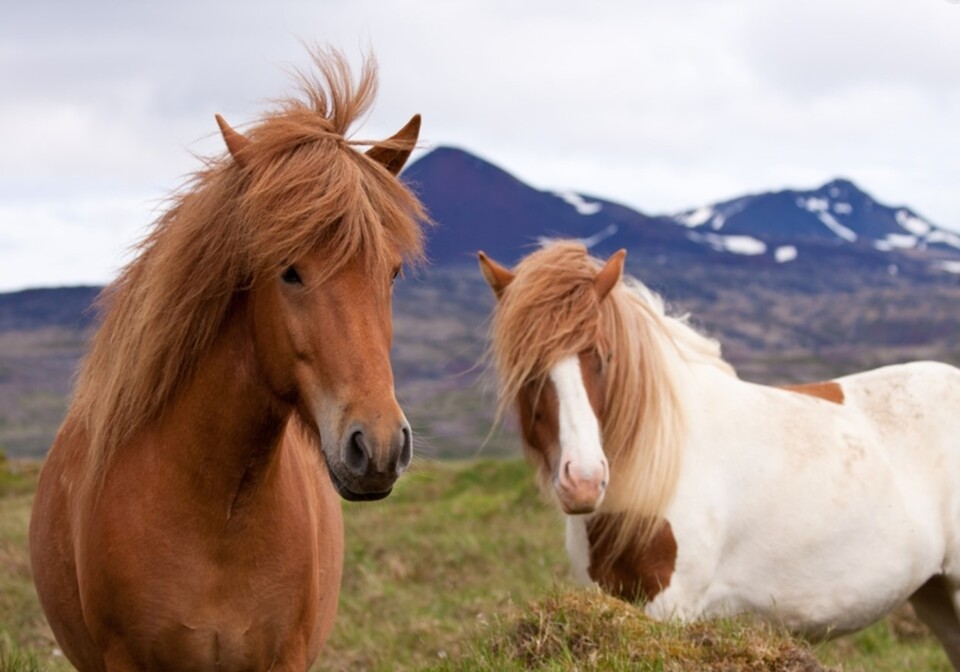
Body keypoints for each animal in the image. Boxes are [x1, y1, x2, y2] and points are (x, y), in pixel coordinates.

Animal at [479, 240, 960, 669]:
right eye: (527, 370)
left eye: (605, 357)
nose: (583, 482)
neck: (658, 471)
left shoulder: (672, 608)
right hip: (935, 595)